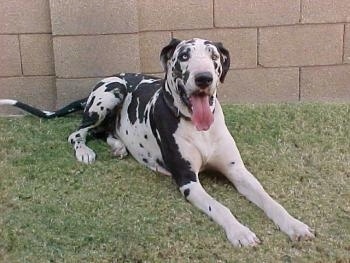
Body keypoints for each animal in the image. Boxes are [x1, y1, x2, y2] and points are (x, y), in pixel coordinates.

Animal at [0, 38, 314, 246]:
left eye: (213, 55)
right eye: (184, 56)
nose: (204, 78)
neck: (197, 126)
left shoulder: (238, 172)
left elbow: (269, 199)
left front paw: (294, 224)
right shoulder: (188, 181)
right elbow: (220, 207)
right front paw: (240, 231)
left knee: (105, 131)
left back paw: (118, 146)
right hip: (110, 93)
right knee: (78, 132)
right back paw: (85, 151)